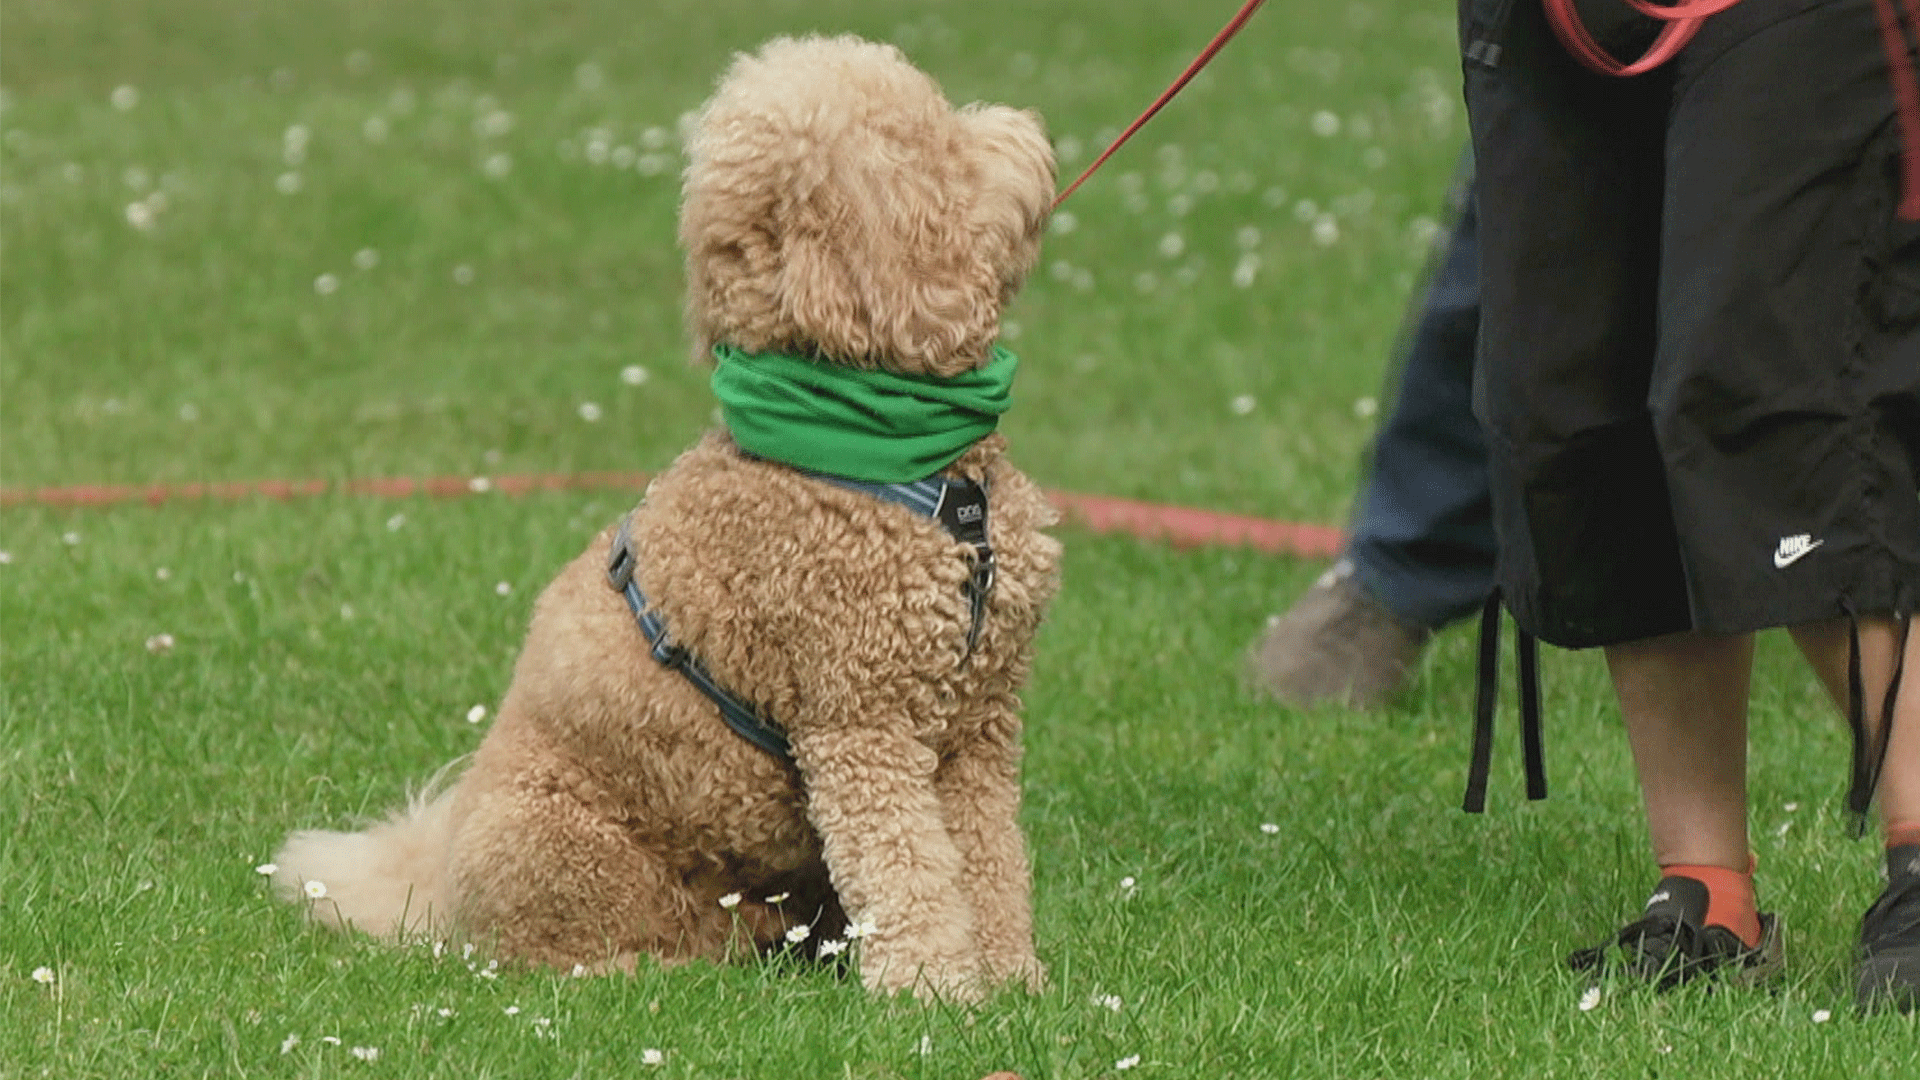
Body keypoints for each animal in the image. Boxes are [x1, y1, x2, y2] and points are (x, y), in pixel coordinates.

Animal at [268, 35, 1059, 999]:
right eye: (932, 135)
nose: (1025, 126)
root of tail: (436, 882)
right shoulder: (862, 727)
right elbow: (911, 869)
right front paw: (936, 993)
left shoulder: (979, 726)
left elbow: (987, 861)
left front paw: (1016, 982)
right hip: (555, 847)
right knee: (548, 955)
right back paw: (656, 974)